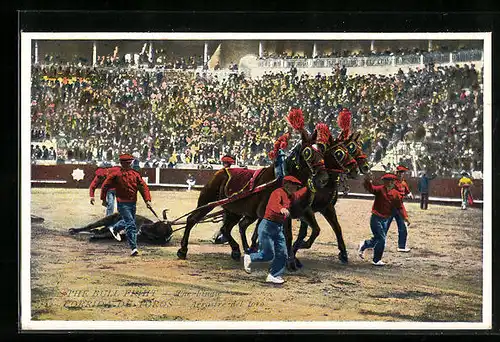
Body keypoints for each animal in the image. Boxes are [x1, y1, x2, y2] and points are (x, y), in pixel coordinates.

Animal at [177, 132, 332, 260]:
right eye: (308, 152)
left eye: (321, 150)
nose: (324, 178)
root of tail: (221, 170)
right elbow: (279, 233)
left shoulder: (299, 211)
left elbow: (310, 230)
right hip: (208, 201)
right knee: (192, 219)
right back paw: (183, 249)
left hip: (234, 210)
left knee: (227, 228)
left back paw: (236, 250)